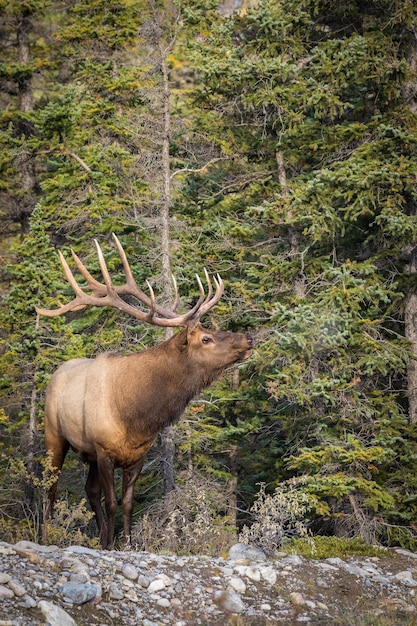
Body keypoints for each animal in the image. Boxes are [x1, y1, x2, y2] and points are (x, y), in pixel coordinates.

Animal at [37, 234, 254, 544]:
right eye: (206, 339)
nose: (248, 338)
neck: (138, 415)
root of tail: (56, 373)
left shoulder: (137, 456)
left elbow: (127, 503)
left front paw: (124, 543)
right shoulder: (104, 451)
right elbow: (111, 502)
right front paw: (111, 545)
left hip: (88, 454)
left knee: (90, 492)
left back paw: (99, 536)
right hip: (54, 435)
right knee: (50, 488)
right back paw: (47, 535)